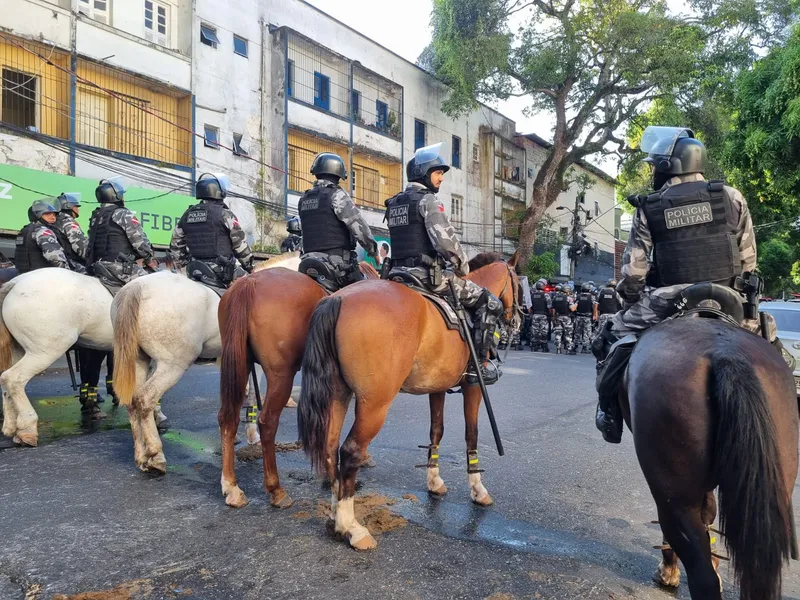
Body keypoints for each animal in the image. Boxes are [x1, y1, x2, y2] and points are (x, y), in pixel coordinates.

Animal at [111, 253, 300, 474]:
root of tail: (137, 287)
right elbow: (253, 393)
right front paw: (253, 435)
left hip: (138, 361)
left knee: (132, 402)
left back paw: (141, 456)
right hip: (172, 365)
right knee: (145, 399)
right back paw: (155, 454)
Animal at [217, 260, 380, 508]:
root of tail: (249, 282)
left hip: (239, 364)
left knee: (228, 417)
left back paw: (231, 487)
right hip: (280, 376)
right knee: (267, 422)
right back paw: (275, 490)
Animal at [296, 251, 520, 552]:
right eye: (518, 283)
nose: (517, 318)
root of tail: (337, 299)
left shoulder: (437, 387)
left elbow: (436, 431)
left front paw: (434, 482)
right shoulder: (472, 386)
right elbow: (471, 434)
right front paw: (478, 489)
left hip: (337, 395)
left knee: (330, 448)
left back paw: (334, 517)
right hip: (375, 404)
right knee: (350, 452)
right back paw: (351, 527)